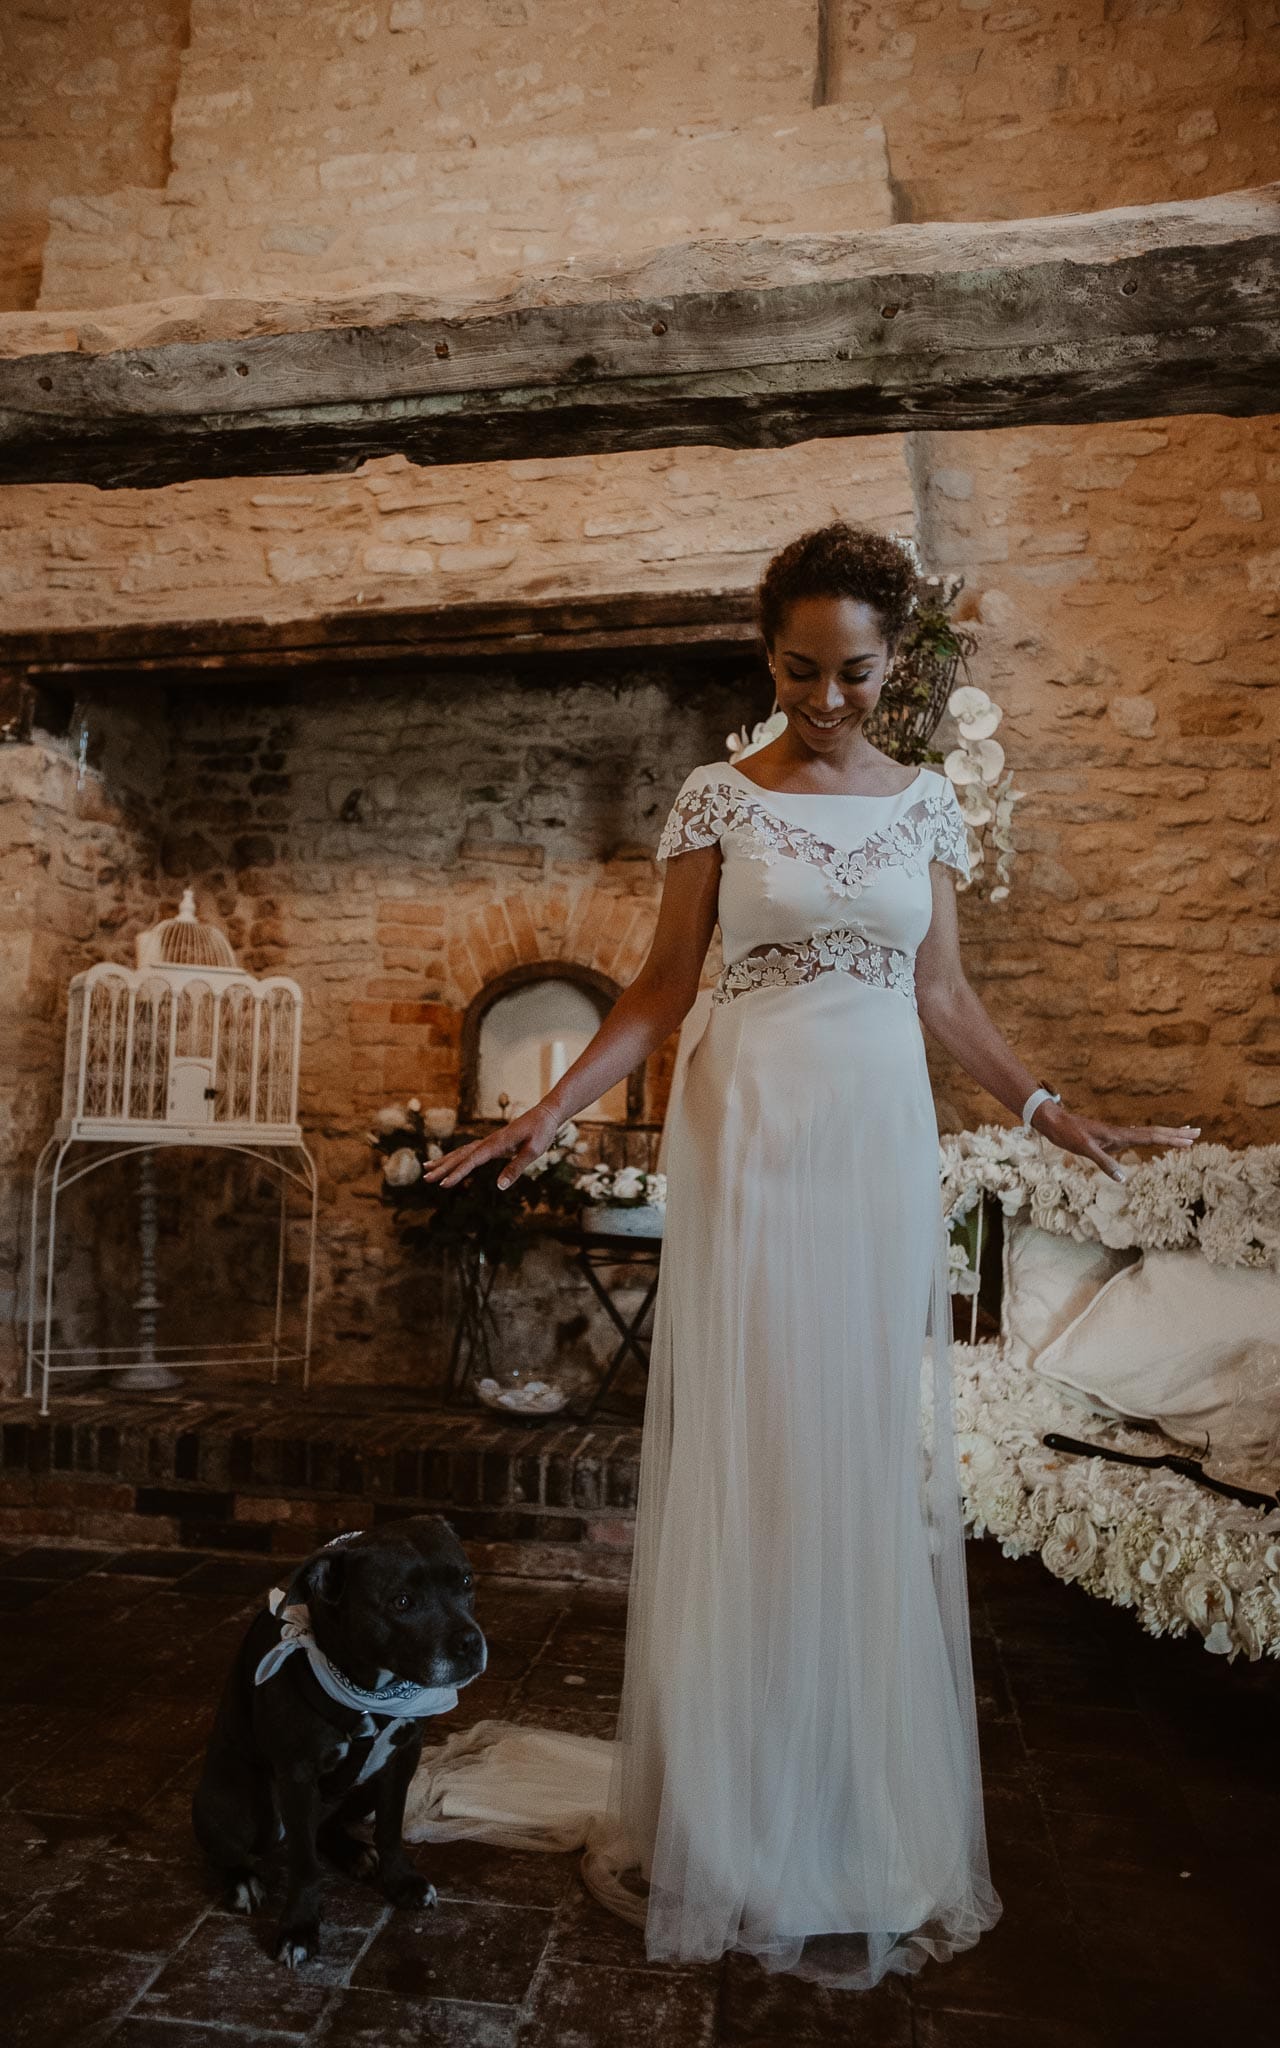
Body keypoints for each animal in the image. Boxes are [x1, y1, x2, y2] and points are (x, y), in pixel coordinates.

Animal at [192, 1515, 487, 1957]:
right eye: (402, 1602)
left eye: (466, 1581)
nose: (470, 1643)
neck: (371, 1694)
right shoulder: (297, 1775)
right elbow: (304, 1864)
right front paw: (299, 1927)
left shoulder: (404, 1758)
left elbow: (390, 1829)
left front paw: (400, 1882)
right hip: (240, 1802)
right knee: (230, 1849)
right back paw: (243, 1881)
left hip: (362, 1792)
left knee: (326, 1828)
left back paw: (354, 1853)